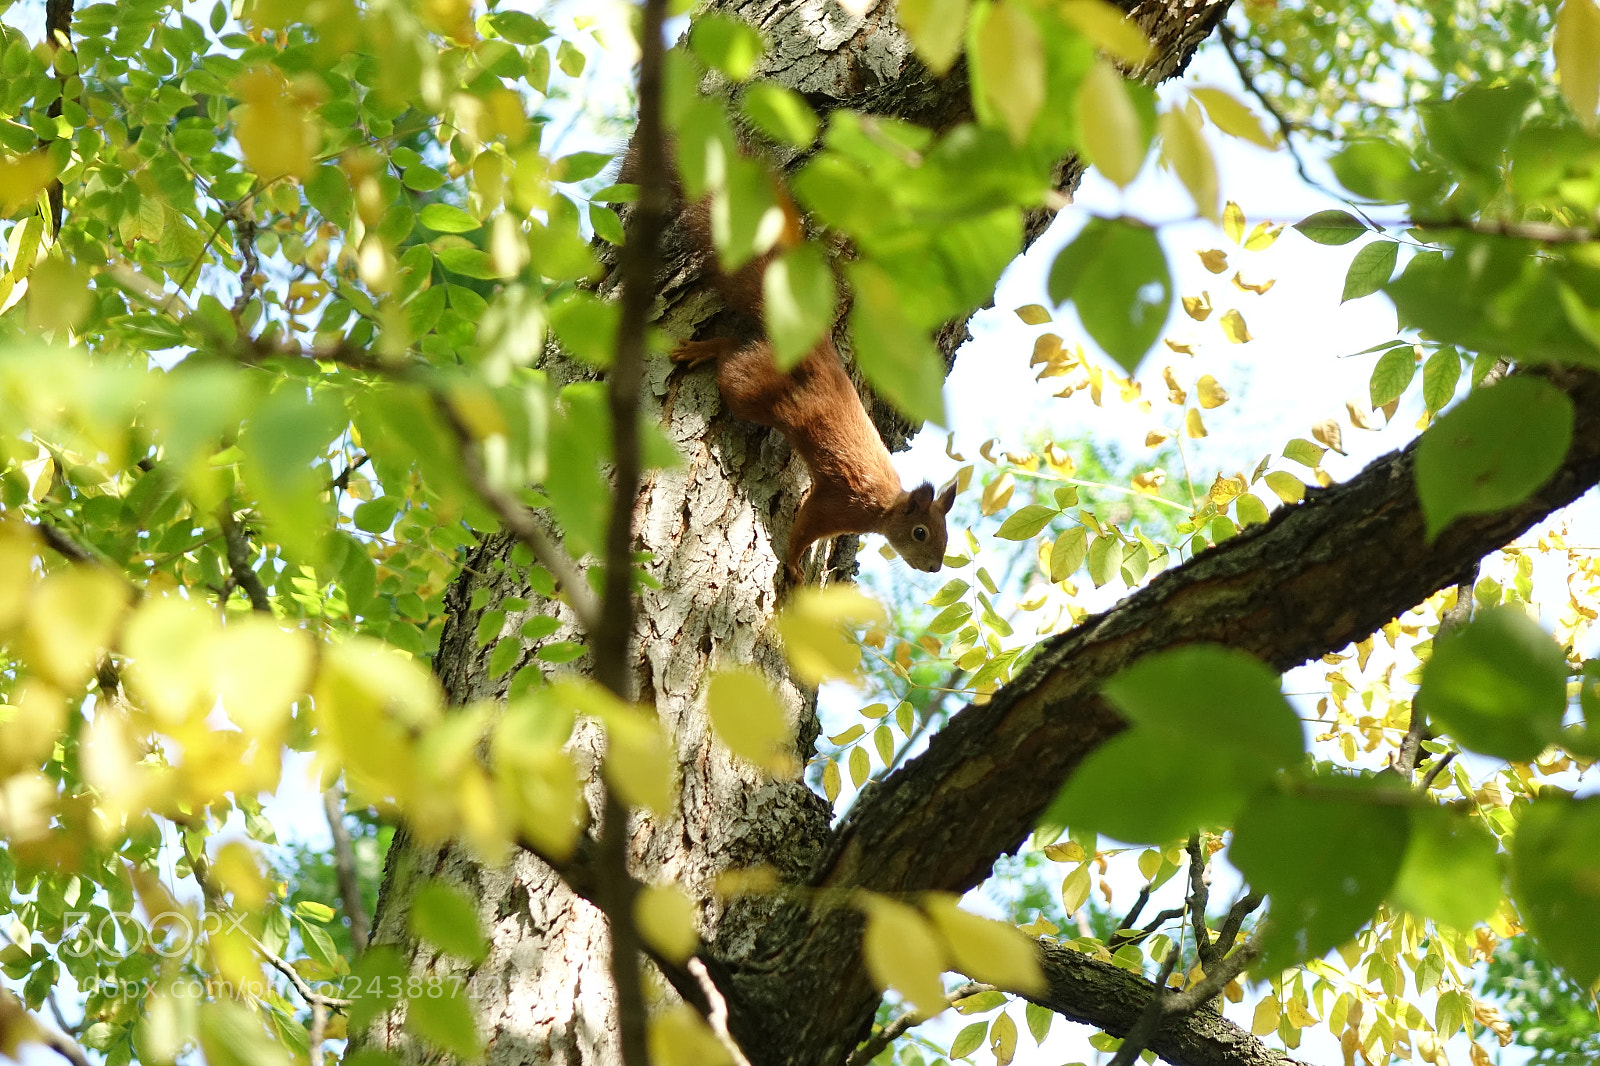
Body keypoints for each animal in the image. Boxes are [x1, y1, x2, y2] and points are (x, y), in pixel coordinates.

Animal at [629, 140, 957, 584]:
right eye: (921, 532)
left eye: (945, 534)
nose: (935, 567)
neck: (884, 505)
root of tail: (810, 343)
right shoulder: (838, 504)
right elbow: (804, 530)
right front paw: (796, 565)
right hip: (753, 389)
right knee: (733, 356)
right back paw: (705, 350)